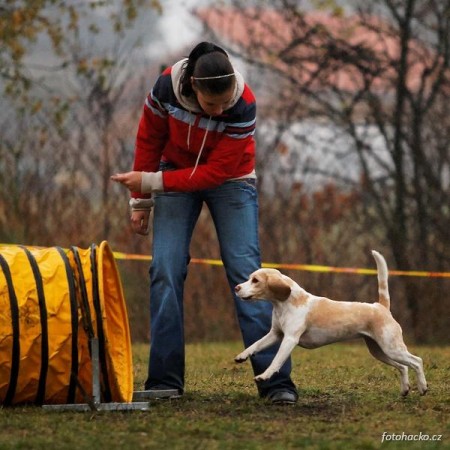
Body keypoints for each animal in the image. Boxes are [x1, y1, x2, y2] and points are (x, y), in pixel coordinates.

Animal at [236, 251, 428, 396]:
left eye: (255, 280)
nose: (237, 288)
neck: (287, 302)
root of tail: (380, 306)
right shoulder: (275, 334)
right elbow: (255, 345)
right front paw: (242, 356)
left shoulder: (289, 339)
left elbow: (276, 361)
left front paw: (264, 376)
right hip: (379, 351)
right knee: (403, 367)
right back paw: (405, 390)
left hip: (391, 348)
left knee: (416, 361)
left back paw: (423, 387)